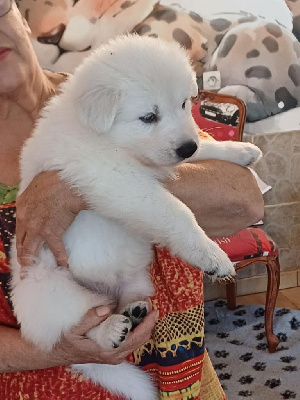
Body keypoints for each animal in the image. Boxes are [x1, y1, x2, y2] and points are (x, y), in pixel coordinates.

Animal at [10, 35, 262, 400]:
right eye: (148, 117)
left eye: (183, 104)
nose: (185, 148)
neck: (108, 138)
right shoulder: (119, 181)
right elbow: (177, 212)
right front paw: (211, 256)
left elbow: (204, 143)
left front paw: (239, 151)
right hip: (55, 293)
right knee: (79, 327)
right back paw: (111, 328)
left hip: (138, 278)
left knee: (123, 298)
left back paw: (134, 311)